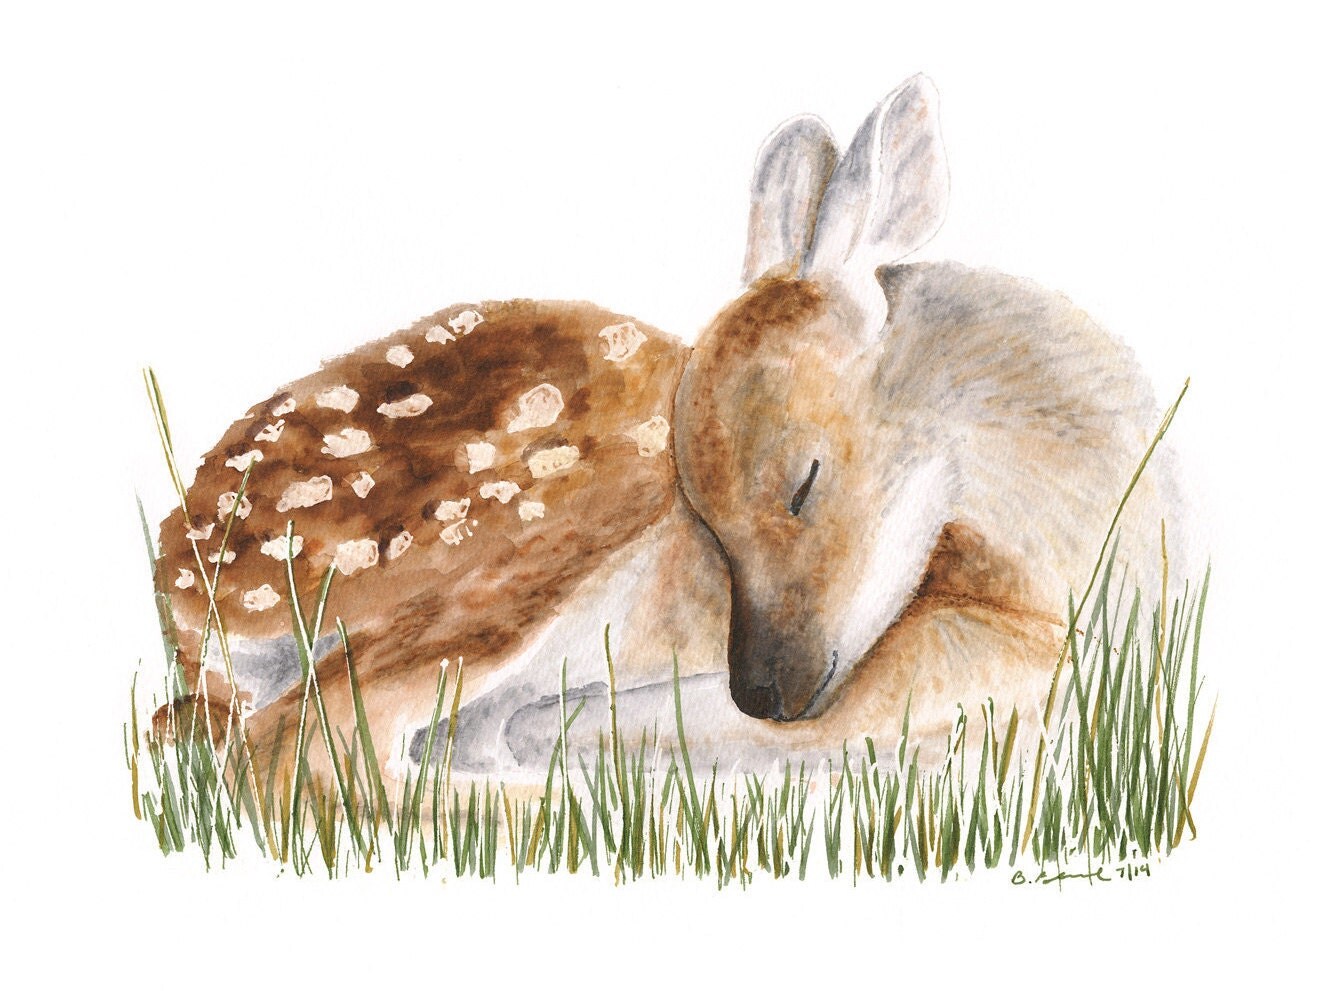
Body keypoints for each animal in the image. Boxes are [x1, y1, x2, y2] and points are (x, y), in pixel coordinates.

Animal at [152, 75, 1185, 787]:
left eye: (804, 480)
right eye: (710, 524)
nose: (764, 691)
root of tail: (186, 587)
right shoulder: (1001, 652)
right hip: (519, 548)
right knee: (294, 747)